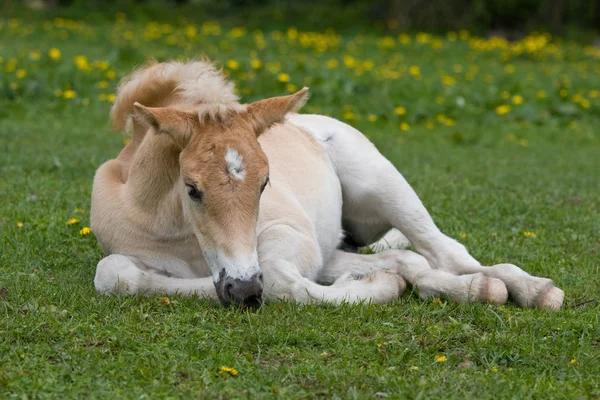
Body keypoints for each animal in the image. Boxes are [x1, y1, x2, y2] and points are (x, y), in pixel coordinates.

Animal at [91, 60, 564, 310]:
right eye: (191, 188)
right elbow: (115, 274)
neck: (176, 231)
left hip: (381, 183)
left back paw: (530, 289)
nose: (242, 289)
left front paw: (381, 288)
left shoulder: (288, 236)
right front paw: (384, 283)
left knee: (444, 250)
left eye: (265, 184)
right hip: (338, 242)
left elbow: (282, 282)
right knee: (410, 258)